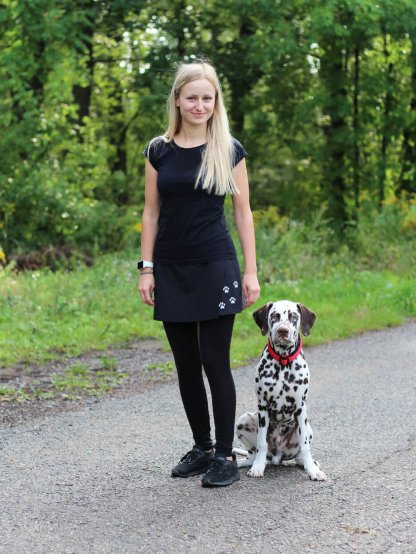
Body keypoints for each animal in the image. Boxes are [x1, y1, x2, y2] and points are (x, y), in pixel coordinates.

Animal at [236, 298, 326, 478]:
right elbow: (261, 443)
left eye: (293, 317)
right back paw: (249, 462)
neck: (283, 362)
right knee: (254, 453)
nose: (283, 331)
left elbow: (305, 446)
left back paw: (309, 464)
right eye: (274, 316)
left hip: (307, 427)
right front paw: (258, 468)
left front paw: (312, 471)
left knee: (300, 454)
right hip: (243, 420)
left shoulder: (300, 407)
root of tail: (277, 456)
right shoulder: (263, 406)